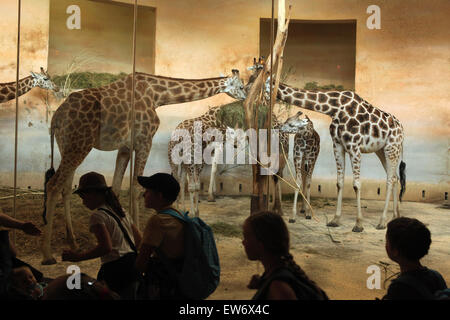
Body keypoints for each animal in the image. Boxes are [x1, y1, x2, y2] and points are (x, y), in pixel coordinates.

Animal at [42, 69, 246, 264]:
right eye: (241, 86)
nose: (244, 97)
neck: (157, 95)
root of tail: (56, 118)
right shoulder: (144, 139)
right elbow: (136, 186)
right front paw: (138, 236)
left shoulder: (125, 147)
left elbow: (116, 187)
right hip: (79, 144)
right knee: (53, 185)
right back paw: (48, 255)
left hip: (67, 145)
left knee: (65, 187)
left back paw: (73, 243)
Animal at [248, 58, 406, 231]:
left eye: (256, 75)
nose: (247, 88)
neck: (334, 108)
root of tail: (401, 129)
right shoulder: (338, 145)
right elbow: (339, 182)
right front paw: (335, 220)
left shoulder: (354, 146)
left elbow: (357, 184)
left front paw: (358, 224)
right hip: (382, 150)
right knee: (395, 177)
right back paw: (395, 216)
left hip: (392, 148)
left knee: (390, 179)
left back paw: (382, 222)